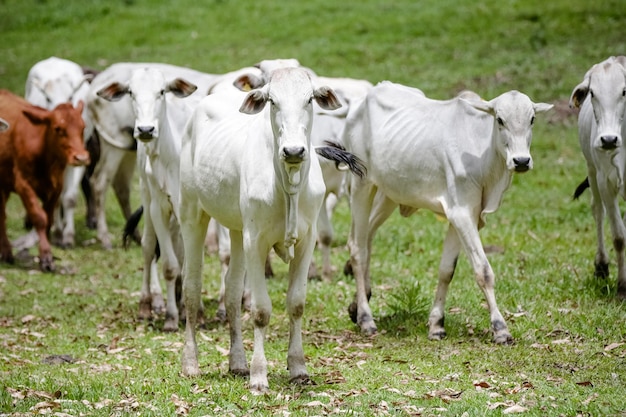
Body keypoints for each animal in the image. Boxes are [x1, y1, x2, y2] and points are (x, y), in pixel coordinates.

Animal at [0, 88, 89, 270]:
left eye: (83, 127)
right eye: (58, 128)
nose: (81, 158)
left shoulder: (56, 188)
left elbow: (48, 219)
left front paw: (46, 254)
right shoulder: (23, 184)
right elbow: (39, 218)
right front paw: (46, 257)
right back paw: (6, 252)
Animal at [96, 67, 197, 328]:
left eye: (161, 91)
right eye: (131, 92)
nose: (145, 130)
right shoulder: (159, 208)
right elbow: (171, 265)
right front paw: (172, 317)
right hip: (146, 195)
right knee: (149, 246)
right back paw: (148, 305)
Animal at [178, 66, 364, 392]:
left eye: (309, 100)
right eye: (272, 102)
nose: (294, 150)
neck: (288, 183)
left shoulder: (306, 241)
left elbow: (296, 303)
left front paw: (298, 368)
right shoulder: (256, 242)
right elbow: (261, 310)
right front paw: (259, 375)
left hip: (237, 230)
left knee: (232, 291)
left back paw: (237, 362)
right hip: (192, 214)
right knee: (191, 286)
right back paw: (191, 363)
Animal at [342, 81, 552, 342]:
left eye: (532, 119)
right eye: (500, 120)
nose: (521, 161)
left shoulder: (462, 217)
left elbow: (446, 270)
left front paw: (436, 324)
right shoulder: (461, 213)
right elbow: (483, 271)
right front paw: (500, 327)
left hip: (389, 193)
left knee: (366, 237)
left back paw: (356, 306)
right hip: (361, 183)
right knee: (358, 248)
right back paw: (365, 318)